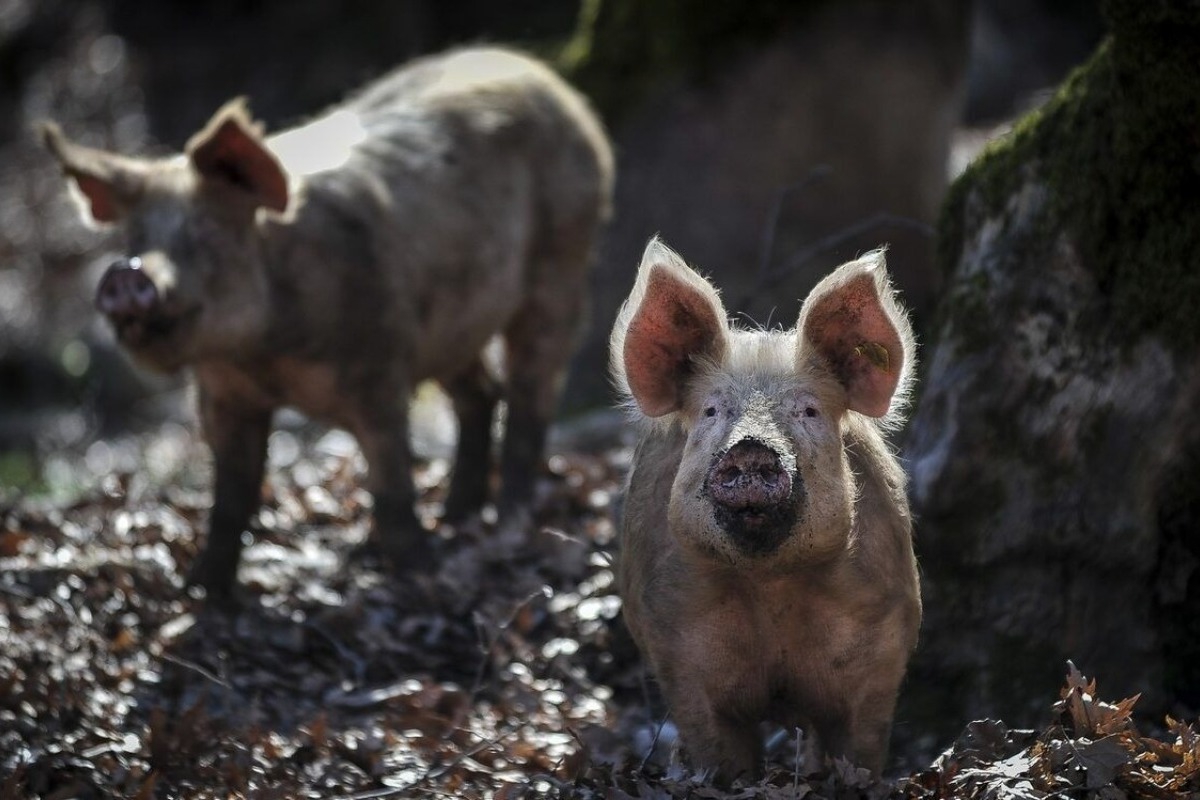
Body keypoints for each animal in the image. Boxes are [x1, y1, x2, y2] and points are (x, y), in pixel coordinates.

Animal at [42, 47, 614, 604]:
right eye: (135, 239)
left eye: (207, 232)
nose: (127, 273)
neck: (266, 357)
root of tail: (553, 83)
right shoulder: (223, 393)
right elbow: (231, 494)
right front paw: (200, 591)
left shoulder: (381, 370)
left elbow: (392, 486)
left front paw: (419, 575)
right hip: (454, 325)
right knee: (480, 392)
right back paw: (457, 517)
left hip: (562, 266)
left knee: (531, 397)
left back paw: (507, 523)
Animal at [614, 237, 921, 782]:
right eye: (712, 410)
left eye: (809, 410)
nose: (752, 448)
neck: (770, 586)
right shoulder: (679, 653)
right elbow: (720, 753)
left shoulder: (880, 646)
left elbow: (859, 748)